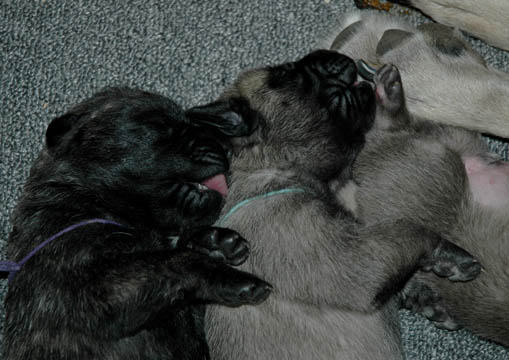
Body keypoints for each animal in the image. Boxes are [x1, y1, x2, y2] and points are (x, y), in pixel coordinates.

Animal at [1, 88, 272, 360]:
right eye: (161, 125)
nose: (225, 146)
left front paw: (215, 242)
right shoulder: (93, 290)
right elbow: (177, 260)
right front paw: (231, 276)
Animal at [190, 50, 480, 360]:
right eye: (285, 76)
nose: (330, 54)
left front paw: (426, 293)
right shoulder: (354, 259)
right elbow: (411, 231)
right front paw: (450, 255)